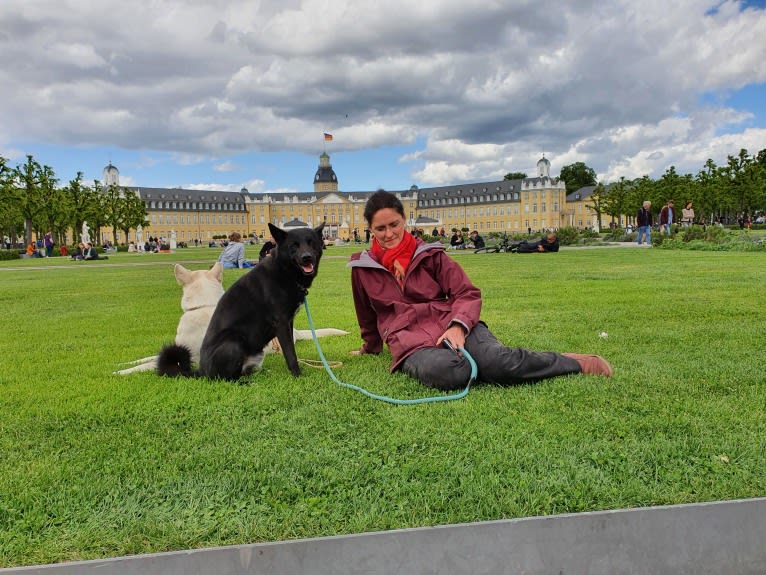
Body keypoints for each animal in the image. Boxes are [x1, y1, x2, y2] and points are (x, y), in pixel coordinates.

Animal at [114, 264, 348, 376]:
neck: (203, 306)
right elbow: (148, 358)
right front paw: (123, 363)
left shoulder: (193, 359)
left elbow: (148, 365)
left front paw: (119, 372)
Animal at [158, 223, 326, 380]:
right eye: (294, 245)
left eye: (311, 243)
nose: (307, 257)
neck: (284, 271)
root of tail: (201, 371)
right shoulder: (282, 323)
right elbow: (290, 353)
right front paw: (298, 375)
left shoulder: (288, 322)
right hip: (234, 342)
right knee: (225, 378)